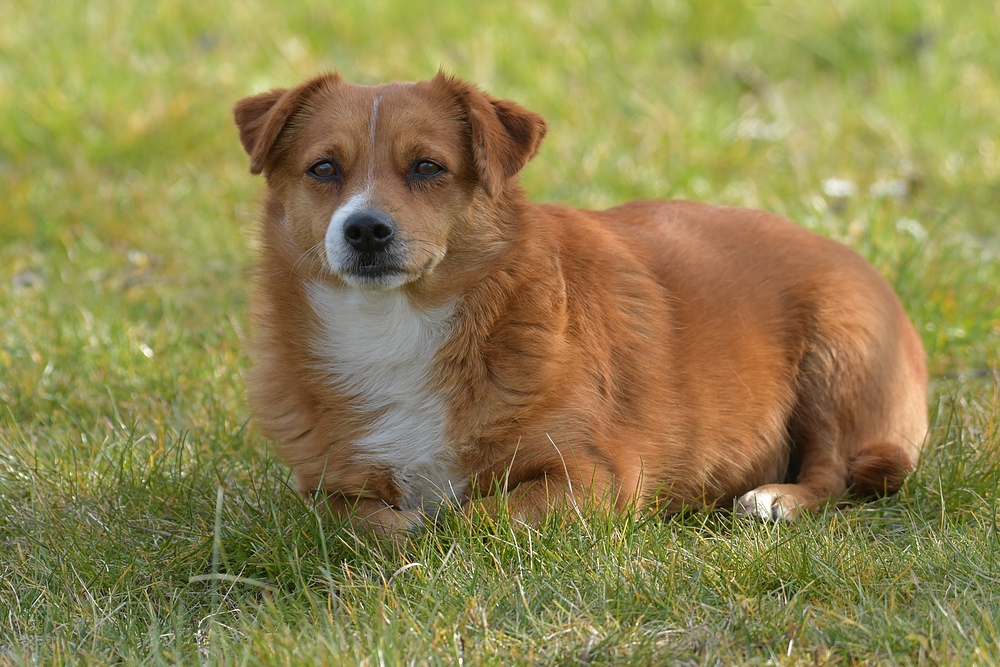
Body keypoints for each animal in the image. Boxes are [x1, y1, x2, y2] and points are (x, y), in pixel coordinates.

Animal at [234, 73, 928, 532]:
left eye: (428, 167)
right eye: (324, 169)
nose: (365, 230)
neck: (397, 327)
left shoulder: (588, 476)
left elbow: (475, 517)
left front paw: (435, 529)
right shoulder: (323, 490)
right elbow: (360, 521)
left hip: (836, 352)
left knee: (834, 470)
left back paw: (776, 498)